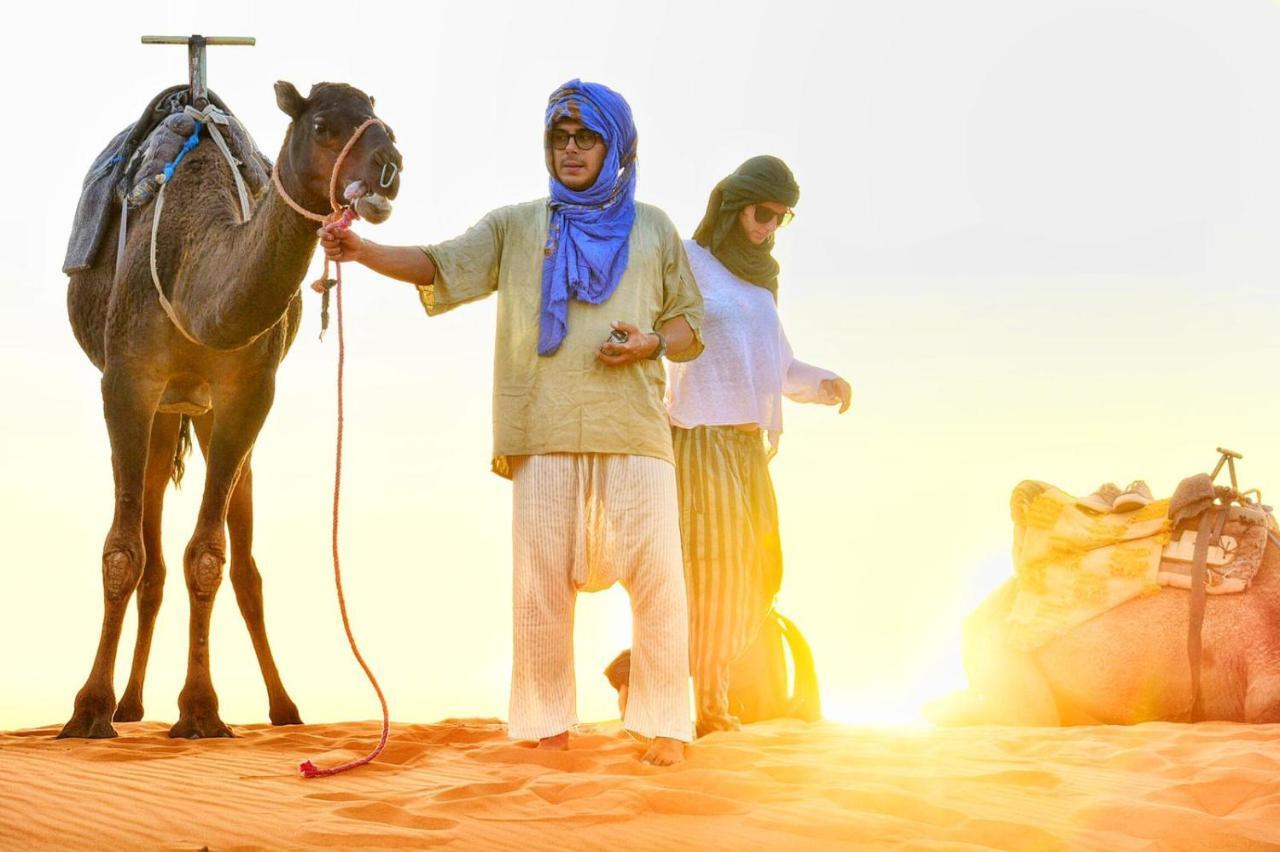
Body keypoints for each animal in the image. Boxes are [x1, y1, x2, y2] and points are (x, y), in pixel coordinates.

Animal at [58, 84, 399, 736]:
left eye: (385, 124)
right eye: (322, 125)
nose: (390, 167)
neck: (195, 274)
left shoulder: (249, 391)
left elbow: (209, 556)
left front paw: (199, 711)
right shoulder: (127, 381)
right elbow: (123, 552)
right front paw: (88, 710)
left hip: (207, 413)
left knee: (241, 565)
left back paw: (282, 707)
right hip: (166, 412)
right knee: (151, 551)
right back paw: (127, 704)